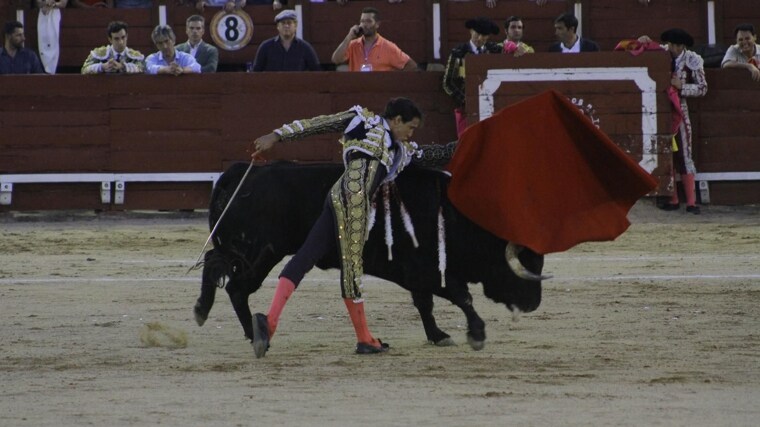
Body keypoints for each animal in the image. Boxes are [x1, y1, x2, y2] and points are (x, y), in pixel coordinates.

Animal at [193, 162, 544, 350]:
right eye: (524, 263)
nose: (534, 304)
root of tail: (243, 172)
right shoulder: (429, 271)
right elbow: (461, 296)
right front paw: (476, 333)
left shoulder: (419, 275)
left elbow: (426, 304)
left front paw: (437, 335)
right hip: (258, 253)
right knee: (235, 285)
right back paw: (250, 331)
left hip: (245, 251)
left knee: (213, 264)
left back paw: (204, 311)